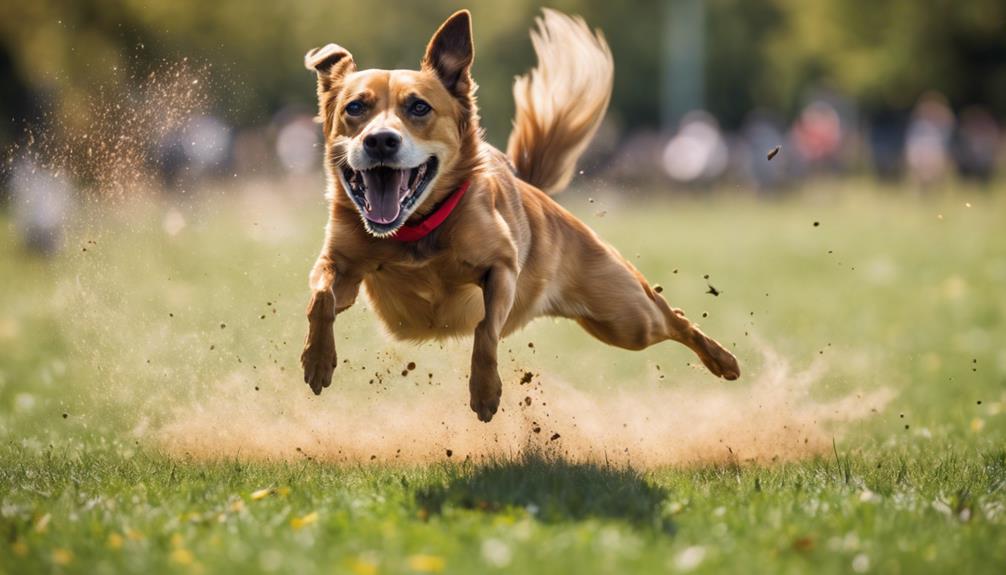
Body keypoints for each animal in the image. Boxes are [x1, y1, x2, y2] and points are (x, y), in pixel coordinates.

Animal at [297, 8, 740, 422]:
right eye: (355, 107)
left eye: (419, 107)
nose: (380, 141)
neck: (417, 231)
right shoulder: (342, 266)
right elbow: (320, 296)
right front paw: (317, 360)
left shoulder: (502, 268)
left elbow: (485, 329)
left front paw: (485, 392)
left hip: (627, 317)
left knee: (674, 318)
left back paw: (723, 360)